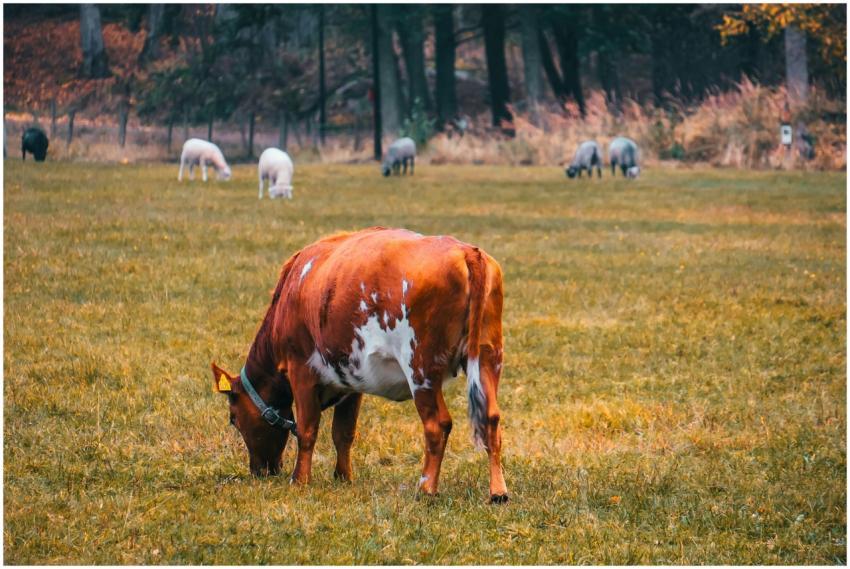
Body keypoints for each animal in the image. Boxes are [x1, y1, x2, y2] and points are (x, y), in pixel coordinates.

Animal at [211, 227, 508, 503]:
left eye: (233, 418)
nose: (260, 471)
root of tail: (466, 251)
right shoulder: (350, 381)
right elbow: (343, 433)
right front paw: (343, 476)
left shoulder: (301, 369)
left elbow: (307, 429)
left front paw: (300, 479)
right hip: (488, 358)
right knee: (490, 419)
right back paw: (498, 491)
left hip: (421, 369)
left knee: (437, 425)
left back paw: (426, 488)